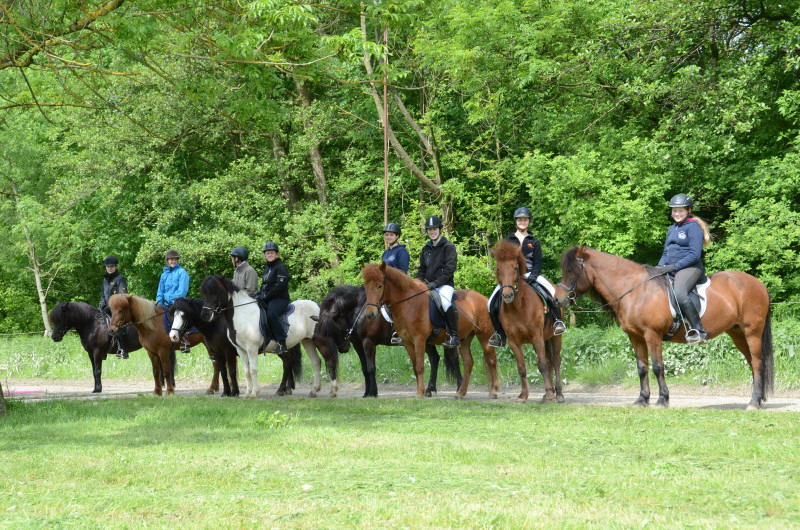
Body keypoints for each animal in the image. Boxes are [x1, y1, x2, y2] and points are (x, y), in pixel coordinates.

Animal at [311, 285, 462, 397]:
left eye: (334, 331)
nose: (343, 349)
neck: (359, 310)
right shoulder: (358, 344)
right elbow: (364, 369)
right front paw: (366, 393)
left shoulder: (369, 343)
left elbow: (371, 368)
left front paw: (373, 393)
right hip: (426, 341)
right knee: (434, 358)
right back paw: (430, 389)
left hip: (446, 340)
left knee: (454, 359)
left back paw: (459, 387)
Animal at [362, 262, 499, 399]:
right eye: (365, 286)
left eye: (380, 286)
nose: (370, 314)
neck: (408, 304)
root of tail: (482, 298)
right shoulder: (407, 342)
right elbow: (414, 367)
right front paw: (421, 391)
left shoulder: (419, 340)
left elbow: (419, 366)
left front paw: (420, 393)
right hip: (464, 339)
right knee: (468, 363)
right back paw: (461, 393)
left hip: (484, 336)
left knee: (491, 360)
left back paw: (493, 391)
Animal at [492, 241, 564, 403]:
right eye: (498, 268)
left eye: (515, 267)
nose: (507, 295)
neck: (518, 307)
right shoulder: (514, 341)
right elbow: (521, 368)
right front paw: (523, 395)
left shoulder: (537, 337)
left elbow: (541, 365)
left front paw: (550, 394)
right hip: (546, 339)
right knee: (550, 362)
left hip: (555, 337)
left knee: (556, 361)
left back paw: (559, 394)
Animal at [555, 246, 774, 410]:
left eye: (572, 271)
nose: (558, 299)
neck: (636, 290)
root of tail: (758, 284)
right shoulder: (635, 337)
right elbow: (642, 368)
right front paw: (642, 400)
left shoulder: (652, 335)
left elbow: (658, 366)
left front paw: (662, 399)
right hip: (737, 333)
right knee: (753, 363)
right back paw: (759, 400)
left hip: (752, 331)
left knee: (757, 362)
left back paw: (753, 403)